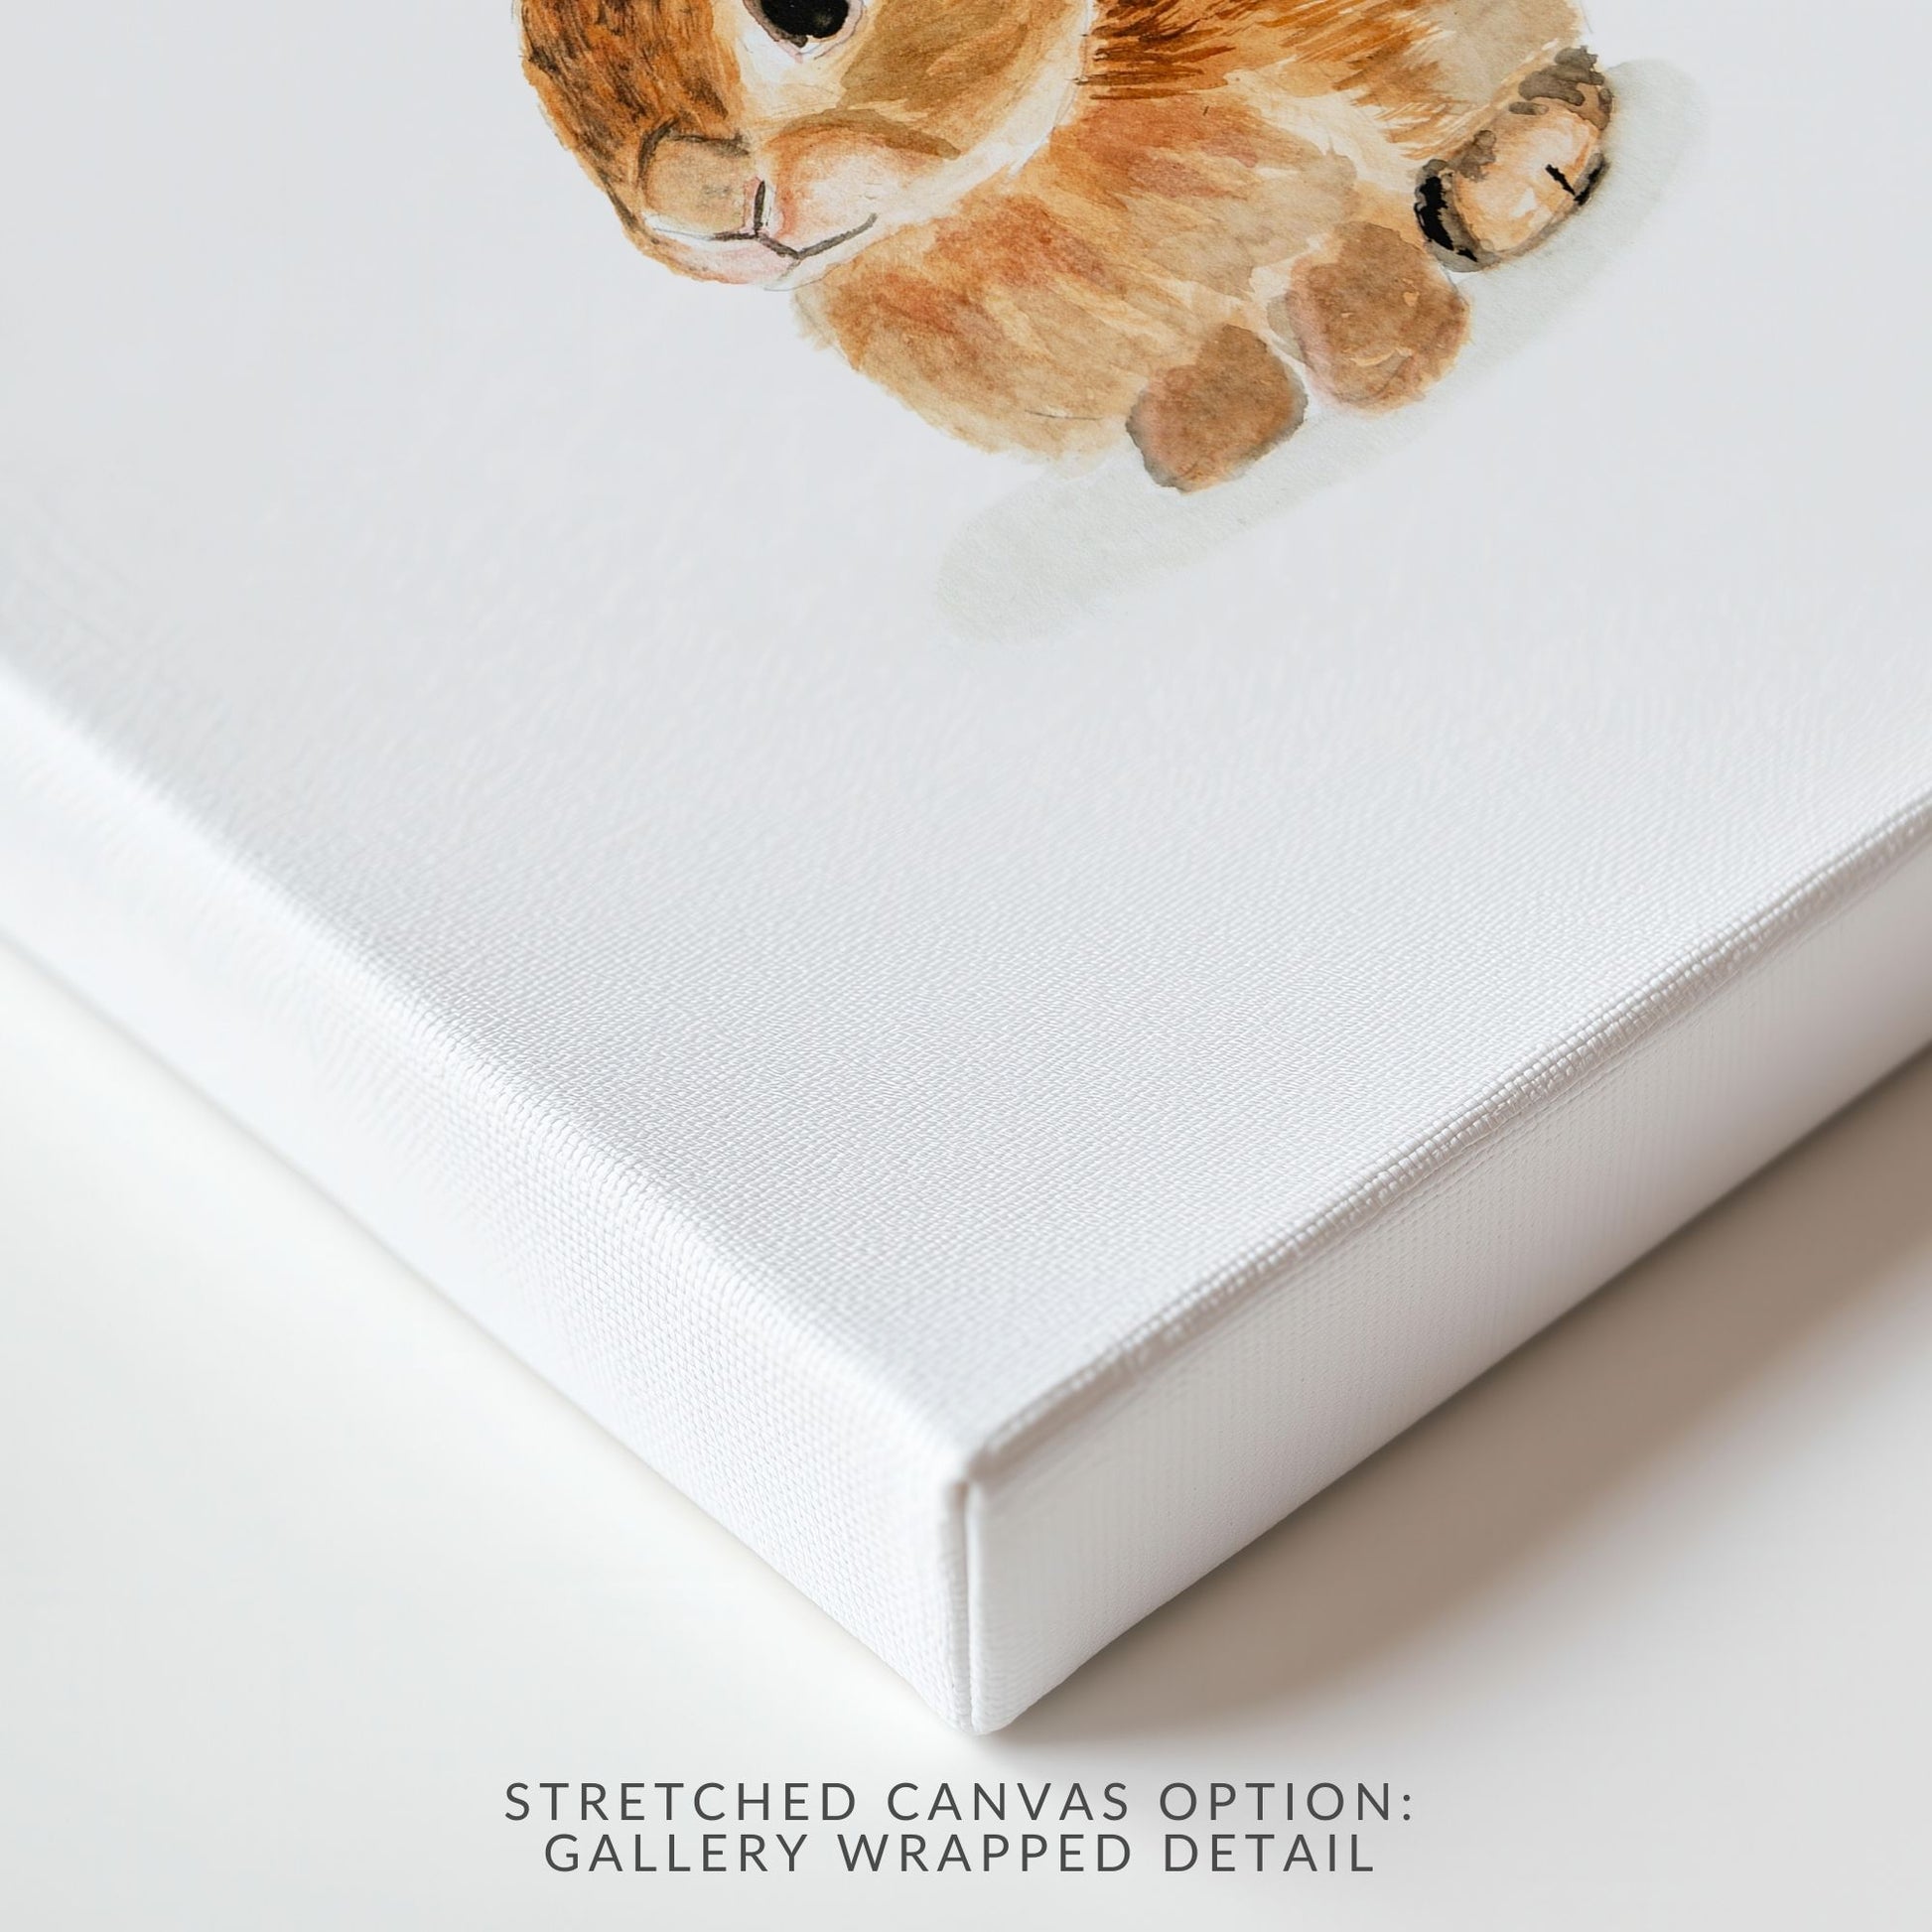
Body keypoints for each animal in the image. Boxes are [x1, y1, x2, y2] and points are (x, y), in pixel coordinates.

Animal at [521, 0, 1613, 489]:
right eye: (546, 65)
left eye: (809, 11)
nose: (691, 207)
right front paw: (1219, 440)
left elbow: (1341, 253)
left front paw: (1394, 360)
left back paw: (1515, 184)